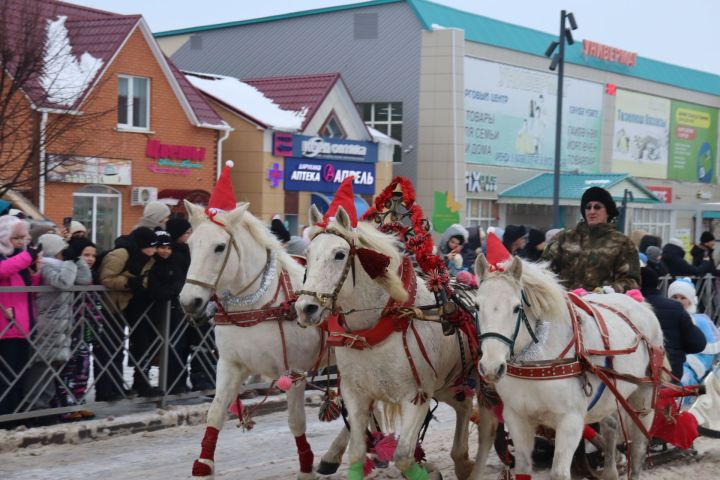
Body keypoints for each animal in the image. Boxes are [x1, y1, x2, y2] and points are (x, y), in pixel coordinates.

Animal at [179, 202, 350, 480]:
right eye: (191, 245)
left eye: (219, 247)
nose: (189, 301)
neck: (258, 303)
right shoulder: (231, 365)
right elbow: (215, 413)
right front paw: (203, 467)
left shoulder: (294, 372)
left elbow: (296, 421)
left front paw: (306, 467)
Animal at [292, 207, 496, 480]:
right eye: (307, 255)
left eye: (339, 254)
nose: (306, 309)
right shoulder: (356, 393)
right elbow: (356, 452)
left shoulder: (416, 396)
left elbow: (403, 456)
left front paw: (428, 471)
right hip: (448, 382)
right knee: (463, 406)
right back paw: (461, 460)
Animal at [472, 255, 664, 480]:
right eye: (476, 306)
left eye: (516, 308)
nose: (491, 367)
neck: (537, 364)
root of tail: (641, 304)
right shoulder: (517, 417)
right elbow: (523, 468)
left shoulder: (570, 420)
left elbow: (559, 473)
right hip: (610, 396)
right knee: (610, 427)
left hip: (643, 398)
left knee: (638, 449)